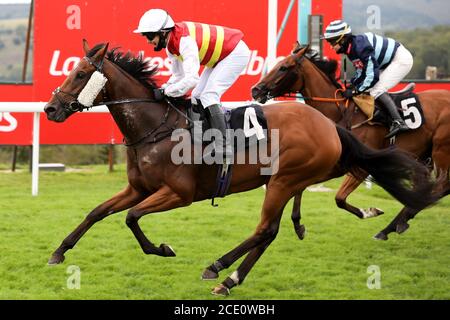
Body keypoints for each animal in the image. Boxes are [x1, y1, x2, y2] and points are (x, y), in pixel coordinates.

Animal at [251, 44, 448, 240]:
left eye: (283, 67)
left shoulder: (361, 165)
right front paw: (298, 223)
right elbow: (302, 186)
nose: (256, 90)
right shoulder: (332, 163)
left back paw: (393, 225)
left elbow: (339, 198)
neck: (342, 113)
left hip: (441, 151)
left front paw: (370, 212)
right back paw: (397, 223)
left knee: (442, 185)